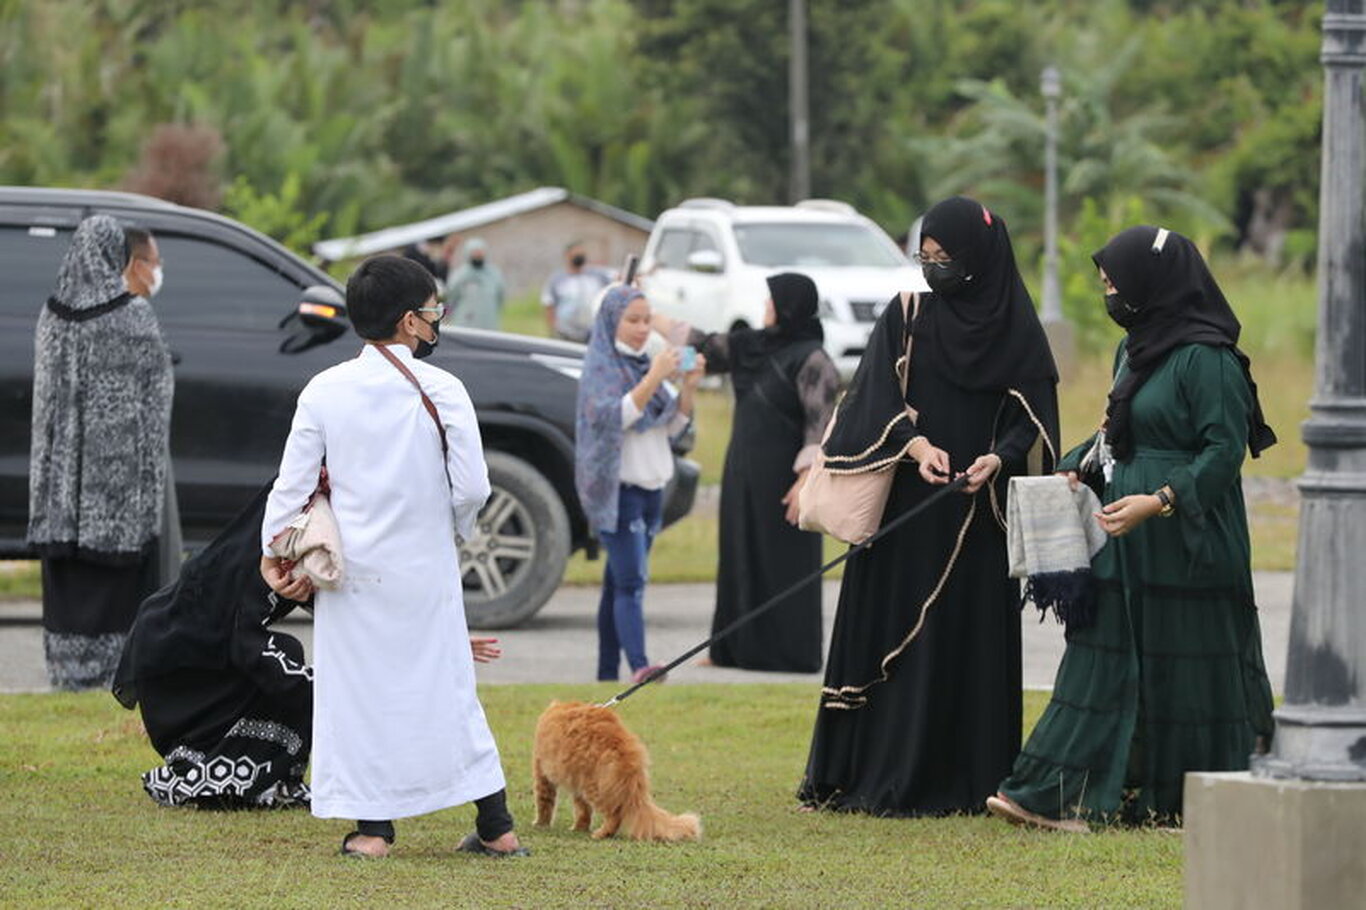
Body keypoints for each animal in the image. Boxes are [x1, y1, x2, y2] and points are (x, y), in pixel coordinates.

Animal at [532, 696, 704, 841]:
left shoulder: (542, 774)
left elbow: (544, 803)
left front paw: (540, 824)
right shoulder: (576, 783)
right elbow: (583, 811)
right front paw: (580, 827)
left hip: (594, 788)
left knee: (614, 816)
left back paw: (602, 833)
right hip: (589, 782)